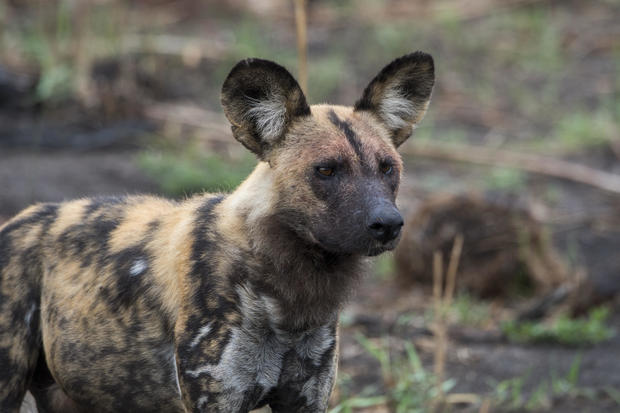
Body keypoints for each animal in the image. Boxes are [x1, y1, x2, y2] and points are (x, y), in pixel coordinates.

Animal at [1, 50, 436, 408]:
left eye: (387, 168)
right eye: (326, 170)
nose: (388, 224)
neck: (288, 298)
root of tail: (16, 220)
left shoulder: (306, 398)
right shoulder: (216, 399)